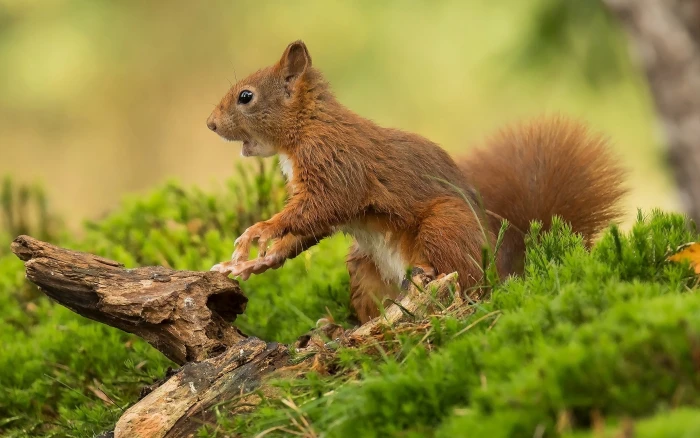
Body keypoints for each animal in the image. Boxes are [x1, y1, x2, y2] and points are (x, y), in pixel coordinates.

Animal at [206, 40, 627, 323]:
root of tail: (502, 273)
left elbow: (323, 206)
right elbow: (309, 229)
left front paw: (259, 231)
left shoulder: (337, 165)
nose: (210, 124)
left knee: (465, 282)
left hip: (445, 226)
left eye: (246, 97)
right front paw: (254, 264)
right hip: (364, 269)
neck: (306, 128)